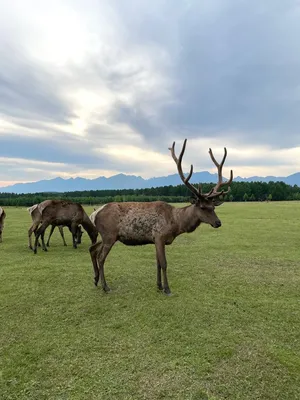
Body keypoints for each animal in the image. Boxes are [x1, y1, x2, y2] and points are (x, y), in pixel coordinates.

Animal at [88, 139, 233, 296]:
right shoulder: (159, 236)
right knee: (101, 257)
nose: (218, 222)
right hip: (109, 235)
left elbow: (157, 263)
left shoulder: (155, 240)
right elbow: (163, 263)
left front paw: (158, 285)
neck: (176, 224)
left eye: (213, 207)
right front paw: (167, 289)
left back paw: (95, 280)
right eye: (202, 207)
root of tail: (94, 214)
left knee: (93, 249)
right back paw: (105, 286)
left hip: (107, 236)